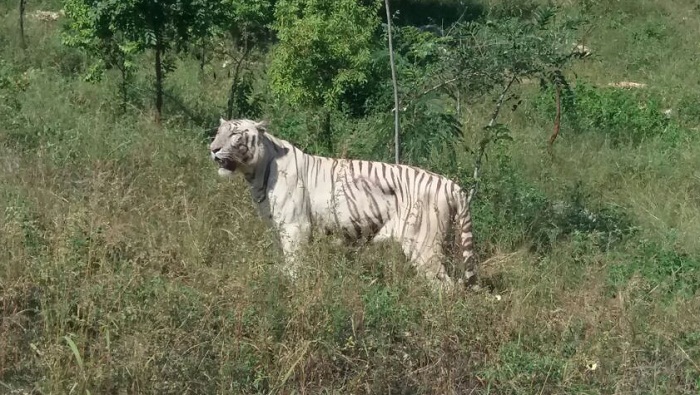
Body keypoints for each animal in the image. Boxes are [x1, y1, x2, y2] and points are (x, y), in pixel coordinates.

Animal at [211, 118, 478, 290]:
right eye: (218, 132)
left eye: (234, 134)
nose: (212, 149)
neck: (256, 173)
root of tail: (451, 184)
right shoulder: (278, 228)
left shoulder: (295, 227)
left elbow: (294, 264)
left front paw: (293, 289)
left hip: (423, 245)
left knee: (445, 287)